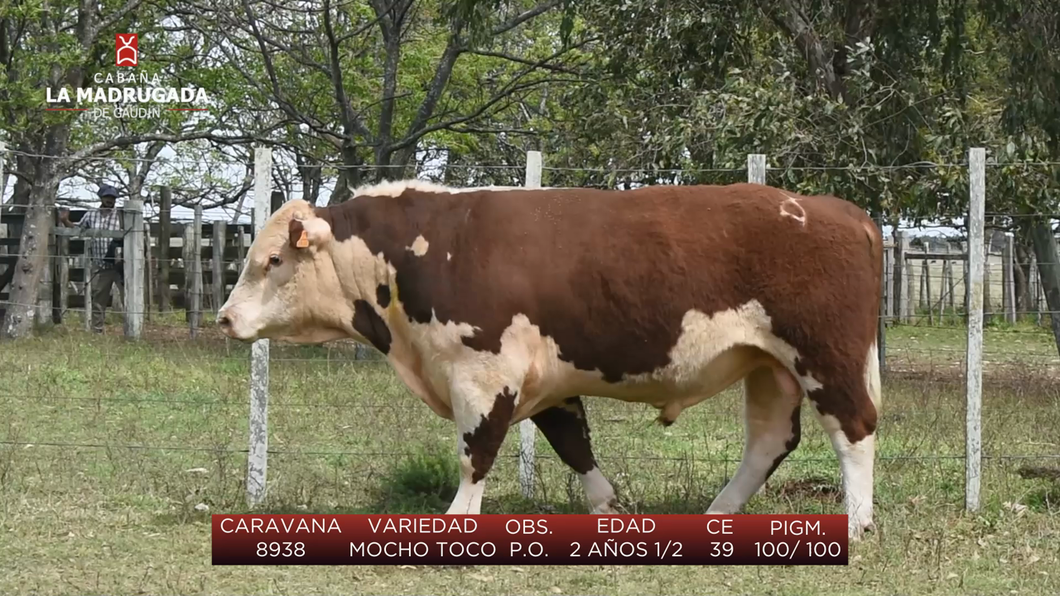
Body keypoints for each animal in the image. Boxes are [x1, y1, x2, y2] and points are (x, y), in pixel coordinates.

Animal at [217, 178, 886, 536]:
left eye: (272, 260)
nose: (225, 318)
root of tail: (835, 208)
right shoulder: (545, 378)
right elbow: (572, 443)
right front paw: (607, 505)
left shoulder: (483, 372)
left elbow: (476, 452)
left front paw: (457, 518)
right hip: (769, 366)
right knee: (770, 440)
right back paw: (717, 513)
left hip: (825, 355)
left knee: (853, 429)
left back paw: (857, 521)